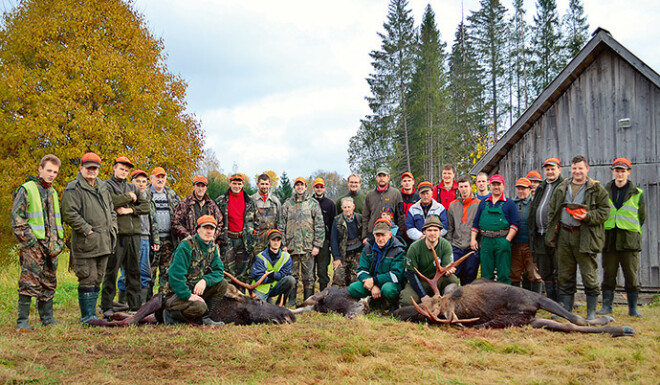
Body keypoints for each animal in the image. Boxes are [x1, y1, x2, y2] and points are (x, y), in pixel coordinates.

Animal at [392, 248, 636, 334]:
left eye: (427, 306)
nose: (396, 312)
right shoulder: (527, 319)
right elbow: (570, 326)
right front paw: (621, 329)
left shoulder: (533, 297)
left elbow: (576, 319)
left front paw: (607, 321)